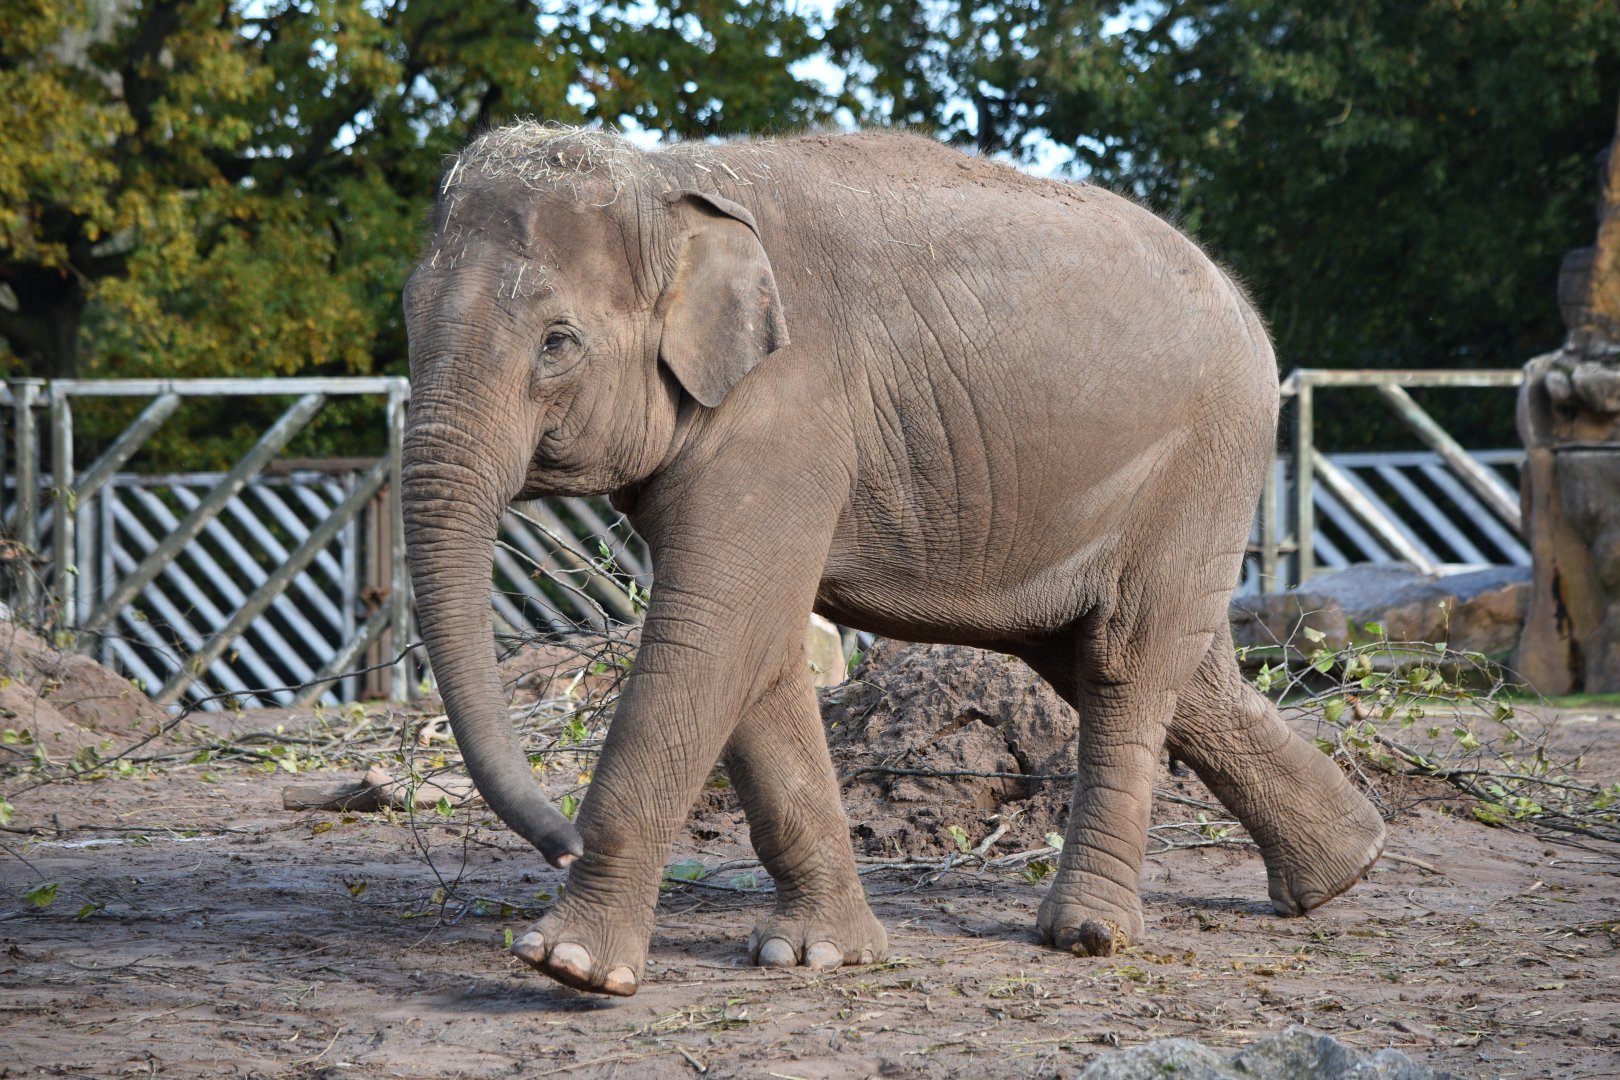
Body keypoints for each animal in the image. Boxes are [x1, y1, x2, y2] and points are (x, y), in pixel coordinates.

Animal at [401, 122, 1386, 998]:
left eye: (557, 344)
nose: (557, 839)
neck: (667, 178)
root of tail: (1241, 297)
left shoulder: (786, 409)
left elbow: (711, 632)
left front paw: (571, 967)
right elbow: (756, 648)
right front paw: (816, 956)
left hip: (1208, 450)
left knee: (1123, 660)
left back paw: (1089, 935)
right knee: (1147, 661)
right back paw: (1342, 869)